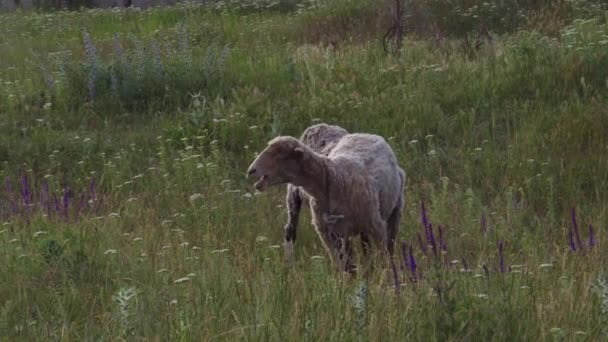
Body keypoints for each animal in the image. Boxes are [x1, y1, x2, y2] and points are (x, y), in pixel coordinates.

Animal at [245, 132, 406, 274]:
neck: (331, 178)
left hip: (394, 211)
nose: (251, 170)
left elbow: (383, 257)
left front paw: (384, 277)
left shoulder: (376, 226)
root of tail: (367, 134)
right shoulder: (327, 233)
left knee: (389, 245)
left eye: (280, 154)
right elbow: (340, 264)